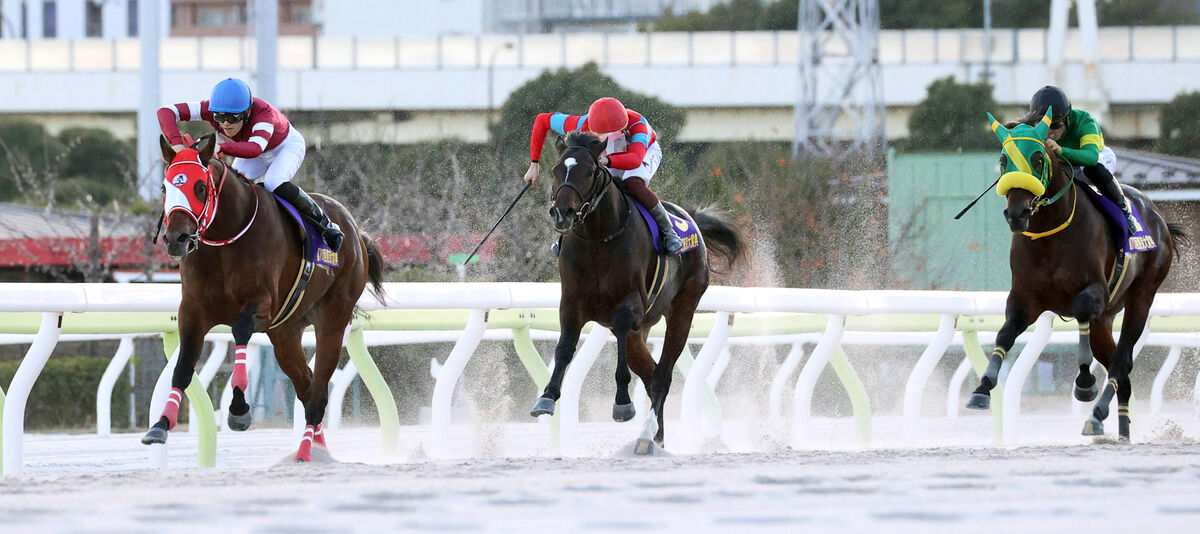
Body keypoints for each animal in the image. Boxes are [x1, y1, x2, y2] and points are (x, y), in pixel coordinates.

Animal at [143, 131, 384, 460]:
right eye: (165, 187)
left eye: (200, 187)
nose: (176, 239)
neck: (225, 242)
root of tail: (356, 233)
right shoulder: (192, 311)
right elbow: (182, 367)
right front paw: (160, 425)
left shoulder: (261, 307)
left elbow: (240, 331)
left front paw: (239, 409)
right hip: (286, 332)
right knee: (307, 387)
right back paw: (317, 449)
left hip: (333, 318)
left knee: (318, 391)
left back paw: (305, 452)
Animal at [530, 130, 744, 448]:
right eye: (557, 170)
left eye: (590, 171)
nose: (562, 213)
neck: (598, 240)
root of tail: (690, 219)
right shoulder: (571, 302)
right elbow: (565, 346)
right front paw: (546, 397)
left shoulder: (629, 305)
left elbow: (620, 333)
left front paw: (622, 402)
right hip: (642, 329)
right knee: (650, 373)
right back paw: (656, 435)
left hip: (683, 309)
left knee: (662, 376)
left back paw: (649, 434)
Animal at [960, 108, 1185, 441]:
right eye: (1003, 159)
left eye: (1038, 158)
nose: (1016, 213)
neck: (1050, 234)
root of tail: (1159, 220)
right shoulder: (1025, 298)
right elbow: (1005, 334)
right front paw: (981, 388)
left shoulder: (1095, 291)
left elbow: (1080, 312)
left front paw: (1084, 382)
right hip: (1105, 320)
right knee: (1121, 373)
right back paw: (1121, 431)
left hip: (1142, 297)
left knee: (1122, 362)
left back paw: (1096, 413)